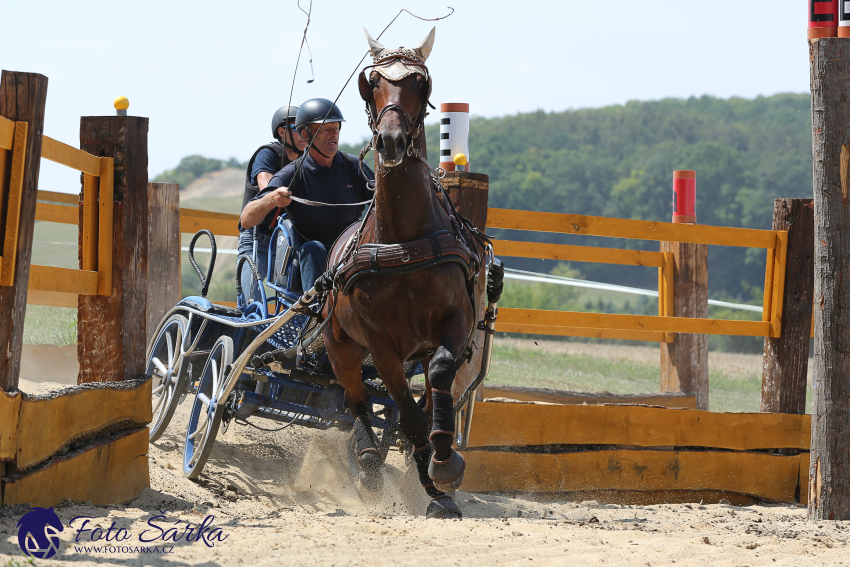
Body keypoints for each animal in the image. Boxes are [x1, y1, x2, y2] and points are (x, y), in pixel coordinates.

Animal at [318, 28, 484, 520]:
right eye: (371, 83)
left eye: (420, 83)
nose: (390, 141)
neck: (404, 240)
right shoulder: (380, 345)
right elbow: (405, 414)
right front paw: (434, 484)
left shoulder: (455, 324)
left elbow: (439, 381)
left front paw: (443, 462)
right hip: (340, 346)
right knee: (354, 399)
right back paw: (369, 462)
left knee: (424, 392)